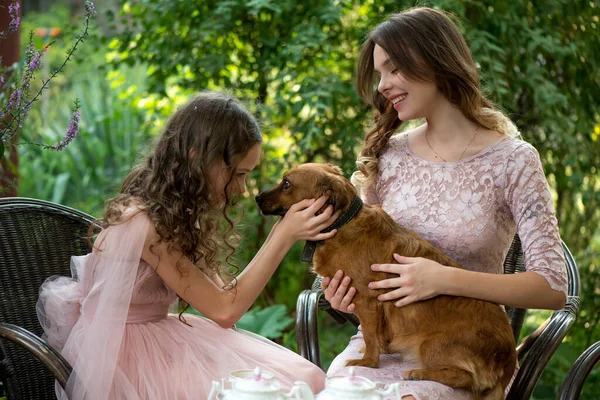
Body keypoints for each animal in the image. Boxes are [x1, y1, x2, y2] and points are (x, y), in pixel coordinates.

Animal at [255, 162, 516, 400]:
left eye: (286, 184)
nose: (256, 197)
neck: (343, 223)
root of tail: (508, 362)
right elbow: (377, 334)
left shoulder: (367, 301)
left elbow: (371, 336)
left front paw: (367, 362)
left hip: (431, 345)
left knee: (465, 378)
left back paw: (419, 373)